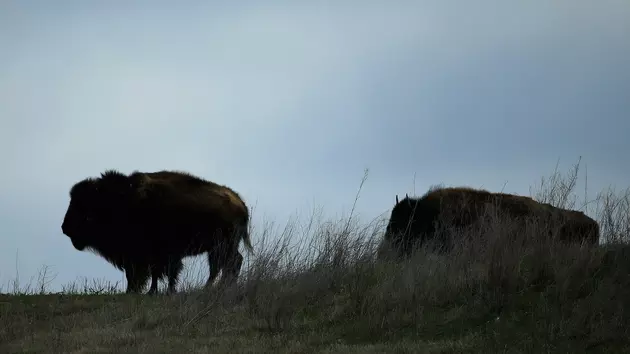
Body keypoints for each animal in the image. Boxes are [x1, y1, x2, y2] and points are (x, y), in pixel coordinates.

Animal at [61, 169, 254, 294]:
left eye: (84, 208)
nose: (65, 227)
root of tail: (240, 203)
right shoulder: (147, 256)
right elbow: (153, 273)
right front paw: (148, 291)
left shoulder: (157, 254)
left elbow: (164, 272)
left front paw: (163, 291)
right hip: (219, 248)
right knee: (228, 264)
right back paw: (221, 286)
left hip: (222, 246)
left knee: (226, 264)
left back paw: (214, 287)